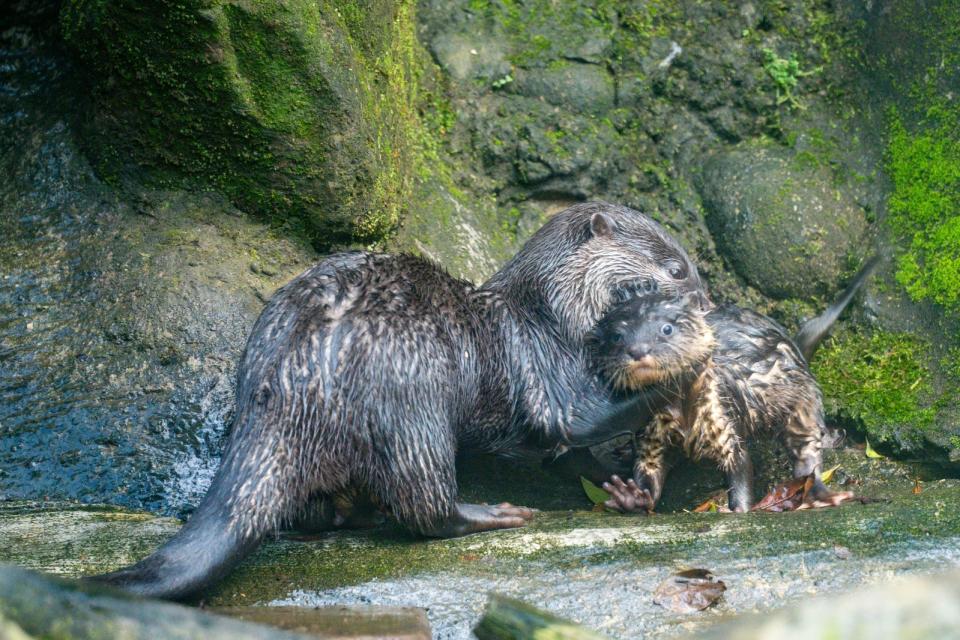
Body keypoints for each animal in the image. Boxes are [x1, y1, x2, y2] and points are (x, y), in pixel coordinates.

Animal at [90, 201, 708, 600]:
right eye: (675, 269)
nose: (704, 300)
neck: (555, 313)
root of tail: (290, 376)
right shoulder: (547, 367)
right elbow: (577, 419)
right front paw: (694, 363)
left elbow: (570, 457)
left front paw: (627, 488)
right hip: (413, 397)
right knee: (425, 508)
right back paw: (491, 514)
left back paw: (352, 513)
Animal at [588, 258, 872, 512]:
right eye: (617, 336)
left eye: (666, 329)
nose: (638, 350)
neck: (683, 413)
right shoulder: (650, 433)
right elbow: (648, 469)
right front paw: (631, 496)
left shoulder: (723, 415)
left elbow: (740, 466)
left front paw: (738, 510)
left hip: (801, 398)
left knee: (806, 449)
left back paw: (818, 494)